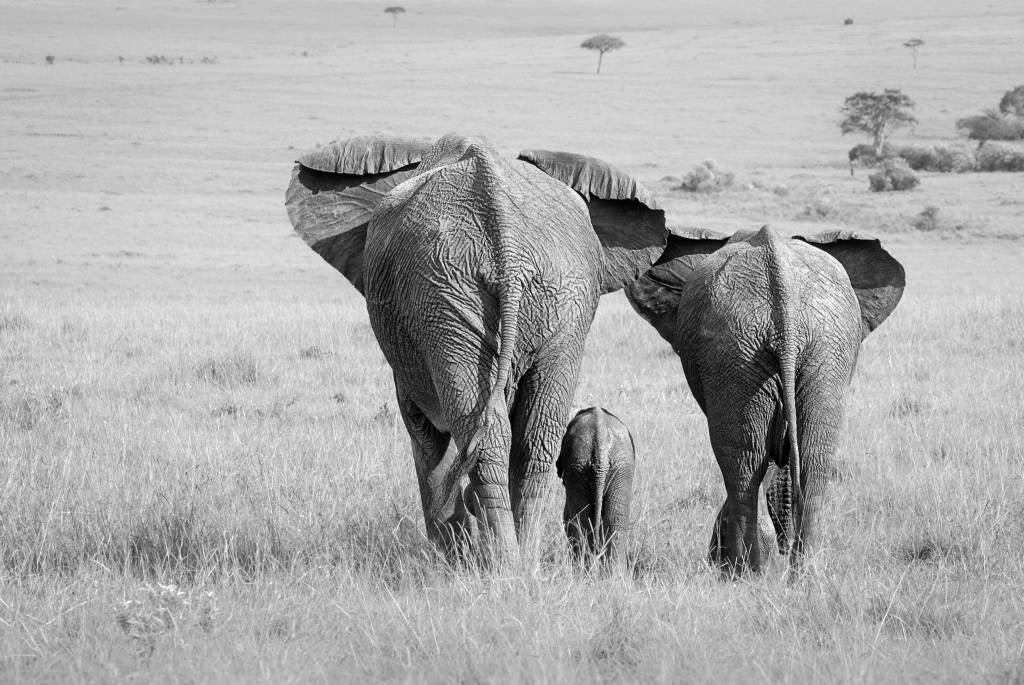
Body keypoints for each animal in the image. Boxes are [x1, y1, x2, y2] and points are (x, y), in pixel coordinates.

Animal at [622, 225, 905, 577]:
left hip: (757, 349)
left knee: (744, 461)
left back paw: (745, 573)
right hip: (799, 351)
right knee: (810, 458)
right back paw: (798, 575)